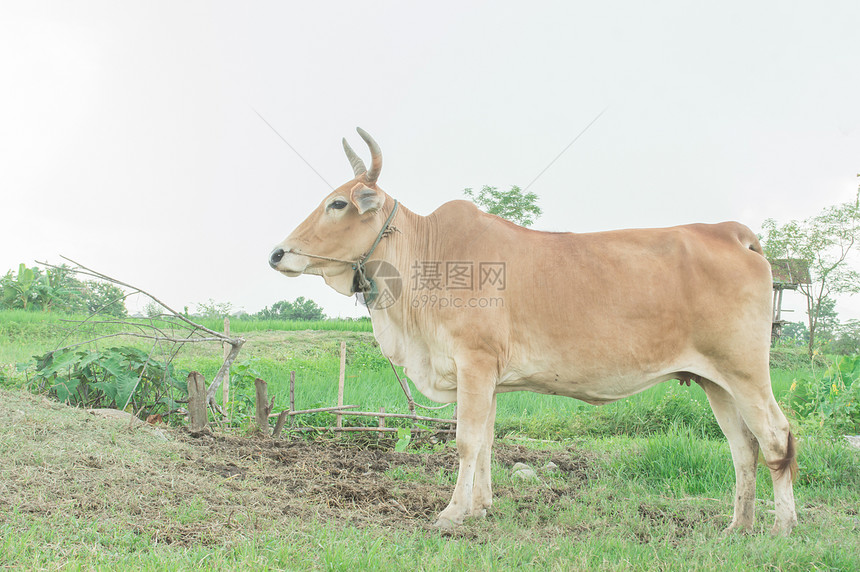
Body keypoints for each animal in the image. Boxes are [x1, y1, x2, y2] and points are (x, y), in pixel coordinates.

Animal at [270, 127, 800, 536]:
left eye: (338, 203)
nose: (278, 253)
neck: (426, 256)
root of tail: (731, 231)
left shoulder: (474, 361)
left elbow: (466, 440)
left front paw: (451, 513)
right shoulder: (487, 375)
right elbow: (486, 440)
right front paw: (480, 508)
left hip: (746, 371)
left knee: (775, 437)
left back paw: (781, 527)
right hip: (715, 380)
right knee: (743, 448)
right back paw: (738, 526)